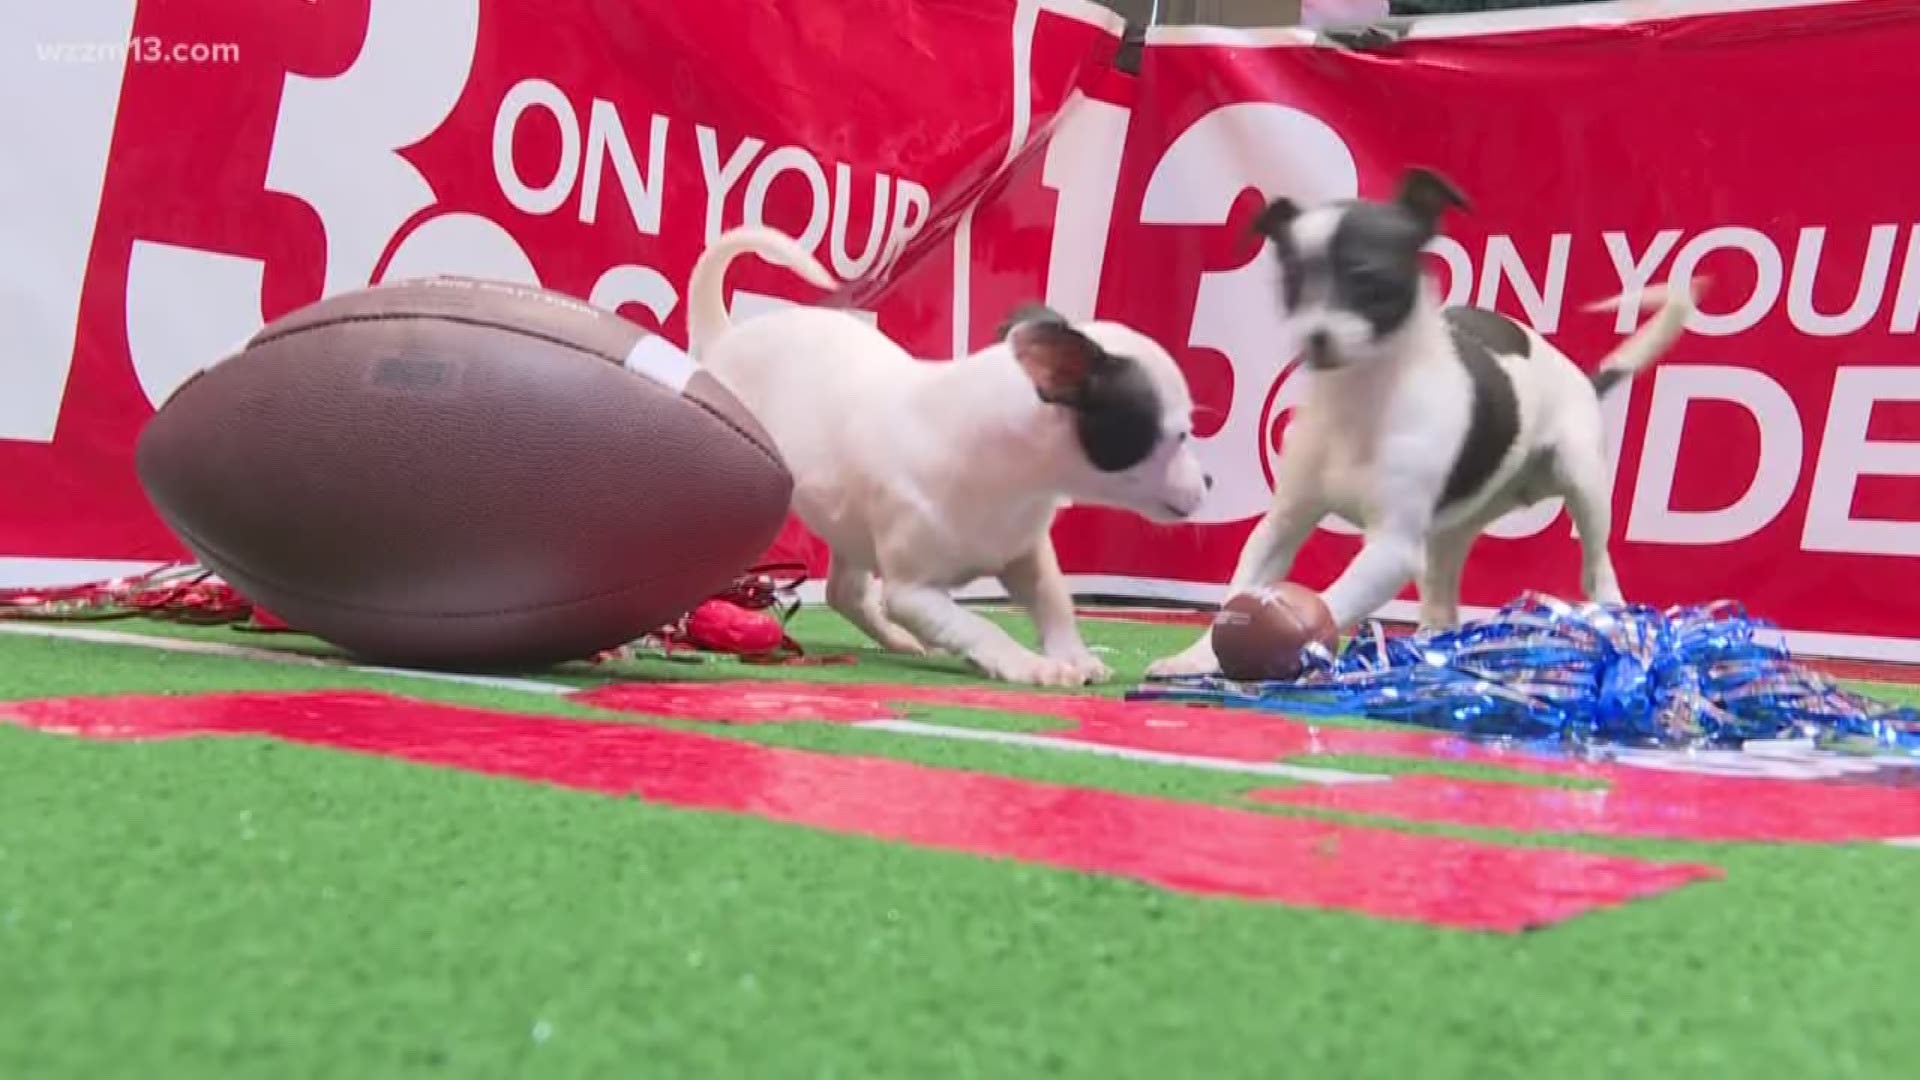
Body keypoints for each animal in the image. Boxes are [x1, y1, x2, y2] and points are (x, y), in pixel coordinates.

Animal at [683, 224, 1205, 687]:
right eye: (1180, 435)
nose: (1210, 481)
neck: (1013, 484)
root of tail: (726, 337)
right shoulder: (914, 593)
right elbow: (978, 624)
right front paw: (1027, 665)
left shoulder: (1027, 555)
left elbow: (1056, 602)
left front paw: (1073, 655)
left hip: (849, 519)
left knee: (844, 592)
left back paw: (900, 641)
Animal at [1144, 165, 1689, 676]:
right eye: (1294, 282)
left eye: (1365, 276)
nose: (1315, 338)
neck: (1361, 397)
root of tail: (1582, 379)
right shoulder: (1283, 525)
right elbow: (1237, 596)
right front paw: (1196, 658)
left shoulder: (1392, 547)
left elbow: (1331, 603)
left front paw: (1299, 642)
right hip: (1451, 534)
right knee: (1443, 602)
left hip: (1582, 483)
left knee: (1598, 570)